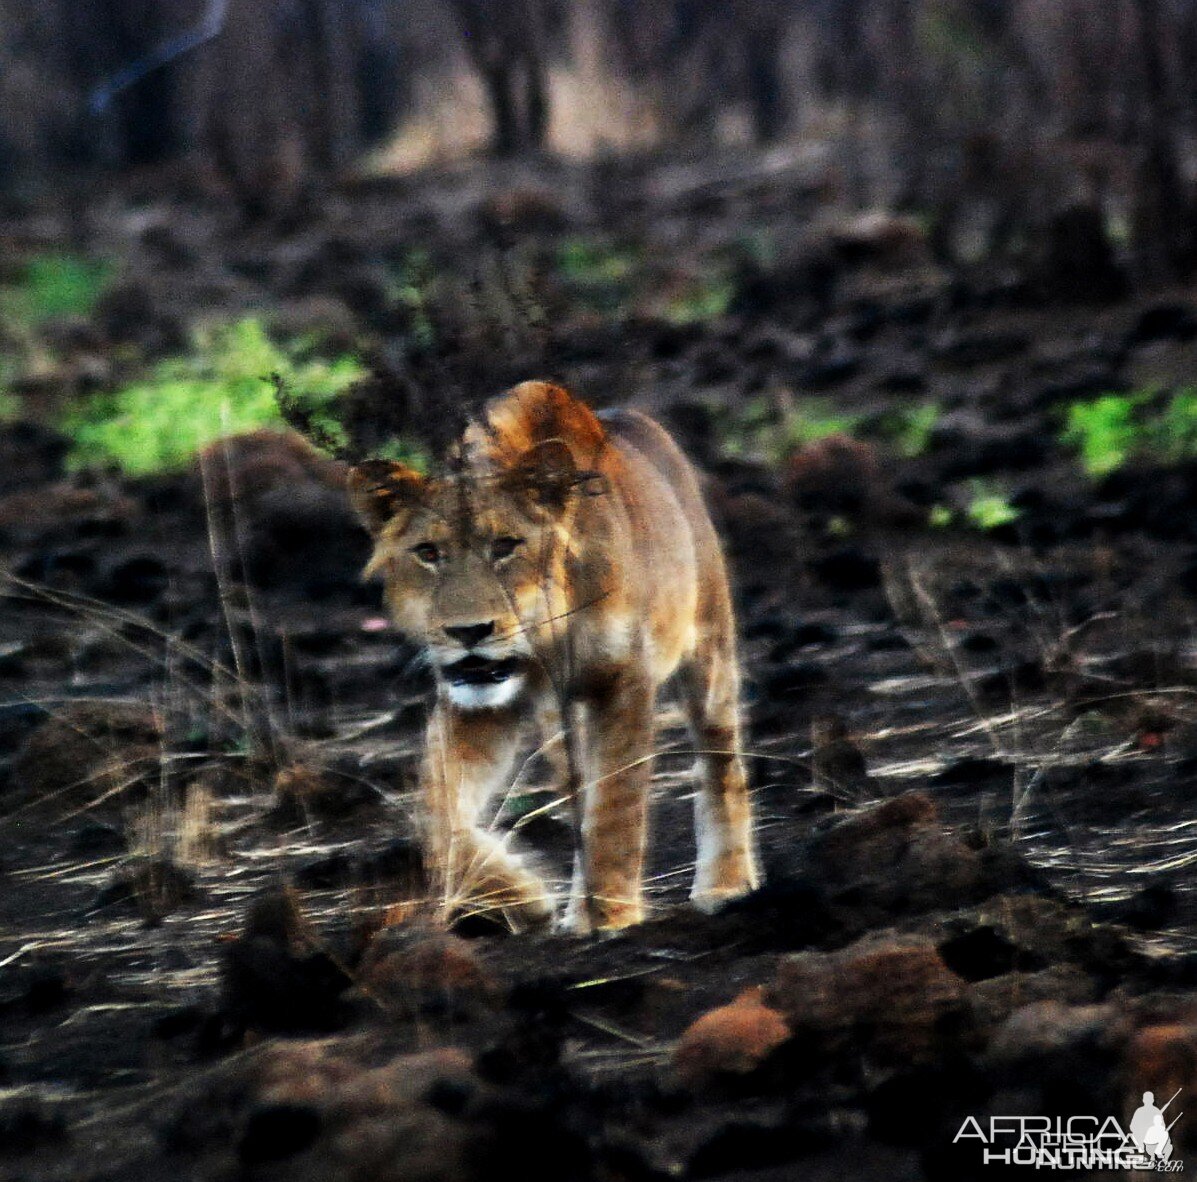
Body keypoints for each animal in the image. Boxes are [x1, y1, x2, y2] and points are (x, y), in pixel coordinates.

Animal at [349, 383, 756, 929]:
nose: (469, 632)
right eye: (428, 553)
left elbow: (616, 805)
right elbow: (435, 815)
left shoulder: (622, 680)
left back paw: (726, 883)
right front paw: (520, 896)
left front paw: (608, 915)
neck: (546, 638)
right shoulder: (475, 702)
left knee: (719, 763)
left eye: (506, 545)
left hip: (708, 643)